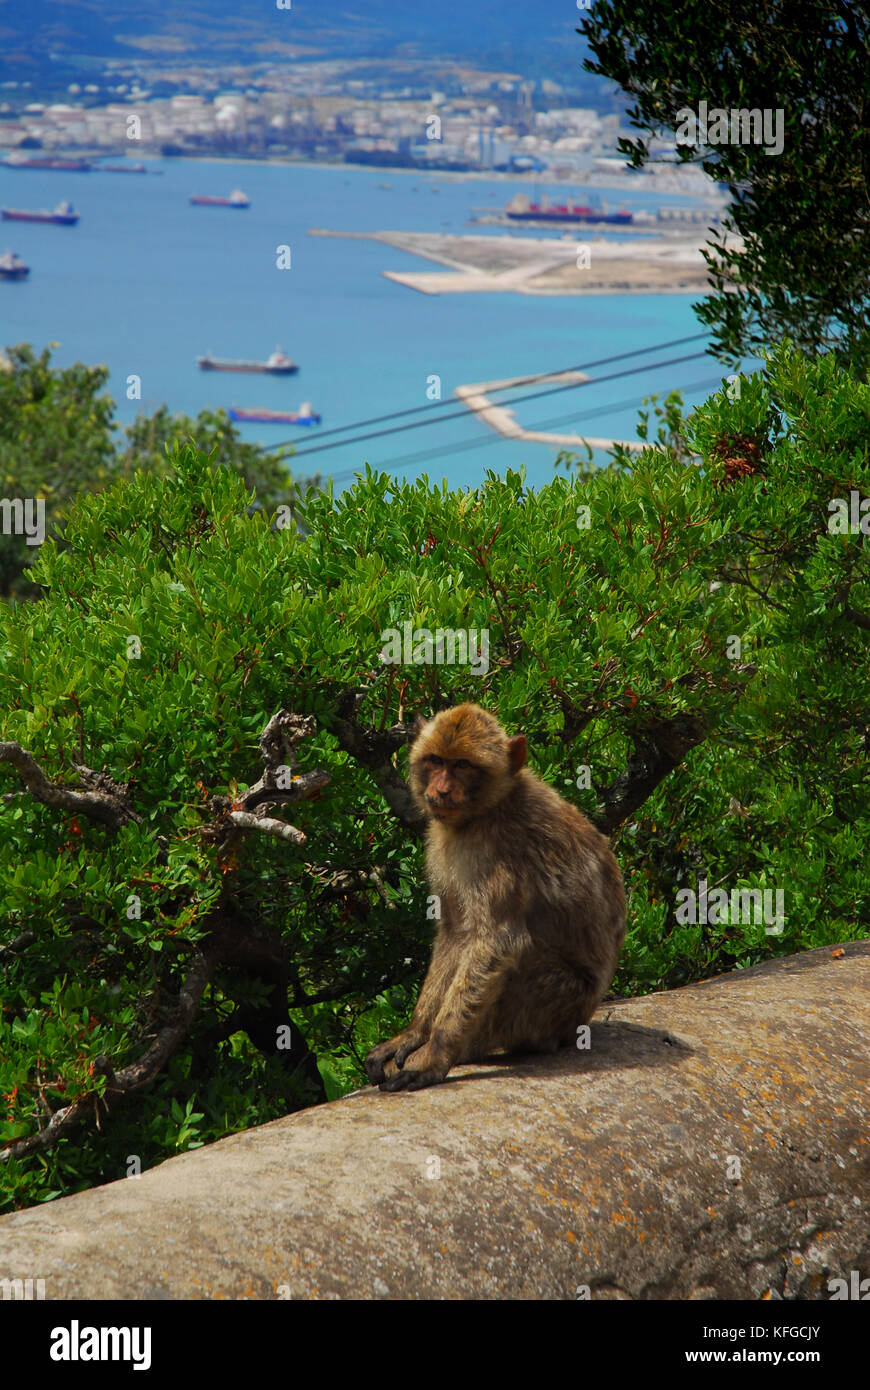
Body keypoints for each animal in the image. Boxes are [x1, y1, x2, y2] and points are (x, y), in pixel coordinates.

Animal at [364, 711, 622, 1089]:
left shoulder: (497, 856)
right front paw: (415, 1034)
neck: (486, 810)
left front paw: (435, 1054)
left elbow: (497, 942)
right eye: (435, 760)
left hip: (558, 1006)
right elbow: (454, 932)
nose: (440, 790)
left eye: (463, 765)